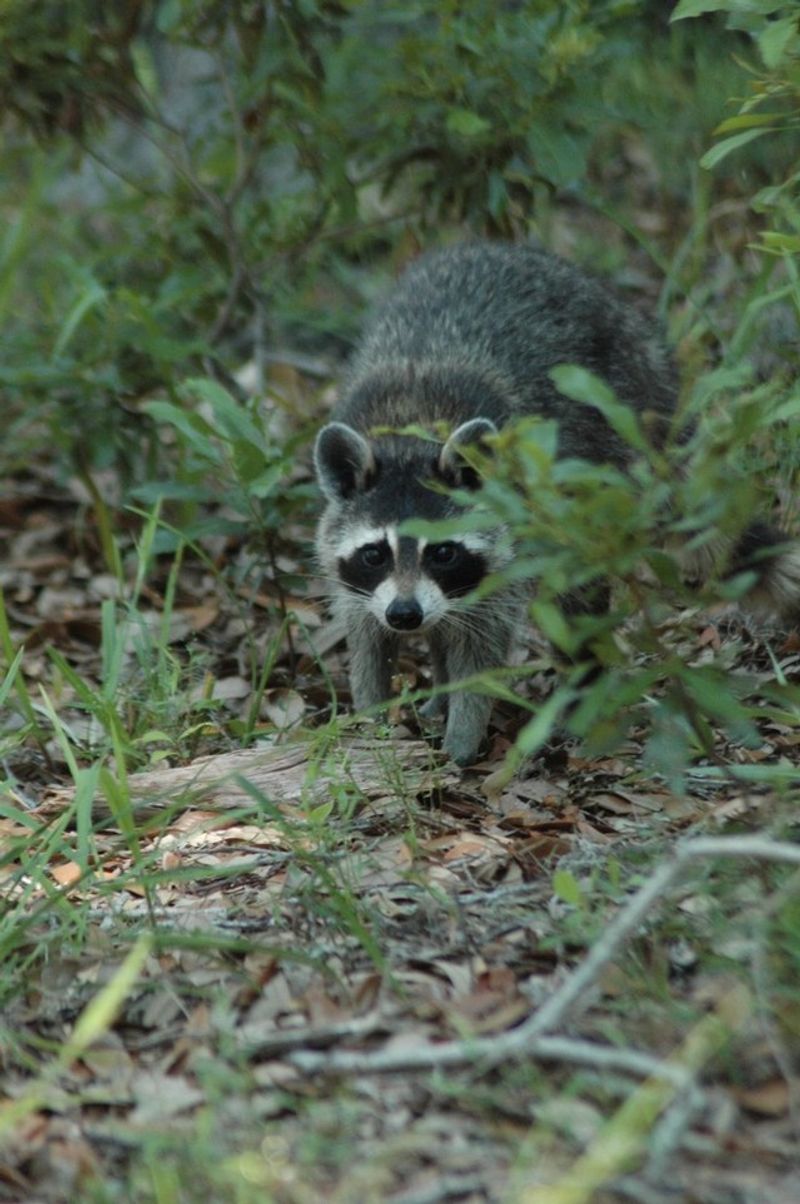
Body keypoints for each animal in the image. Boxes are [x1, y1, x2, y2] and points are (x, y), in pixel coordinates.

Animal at [314, 241, 800, 765]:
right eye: (375, 553)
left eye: (443, 552)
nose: (406, 615)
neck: (409, 435)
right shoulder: (361, 579)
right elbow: (367, 638)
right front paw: (372, 719)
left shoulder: (511, 538)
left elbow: (480, 646)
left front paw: (462, 736)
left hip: (605, 446)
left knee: (577, 595)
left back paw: (583, 690)